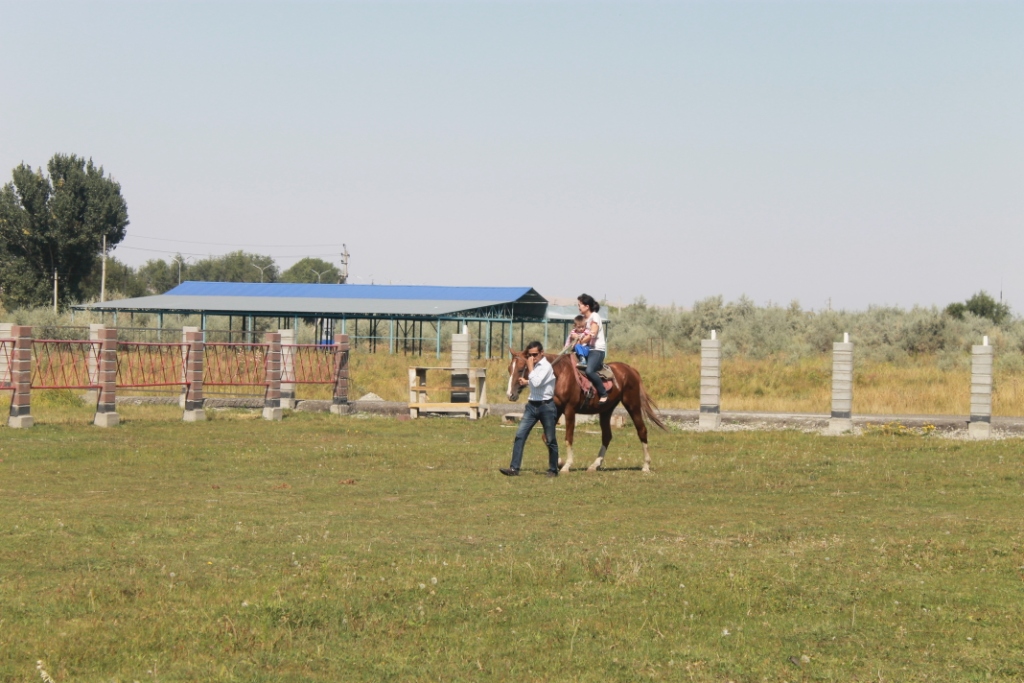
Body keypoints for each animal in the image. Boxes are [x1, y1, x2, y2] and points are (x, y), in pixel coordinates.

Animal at [506, 348, 667, 473]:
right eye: (509, 369)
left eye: (520, 369)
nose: (510, 394)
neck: (559, 375)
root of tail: (631, 370)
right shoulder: (556, 409)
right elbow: (546, 437)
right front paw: (559, 462)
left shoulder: (569, 410)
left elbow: (568, 437)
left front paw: (567, 466)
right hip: (606, 410)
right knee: (607, 436)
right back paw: (594, 465)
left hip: (632, 404)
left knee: (642, 430)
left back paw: (646, 465)